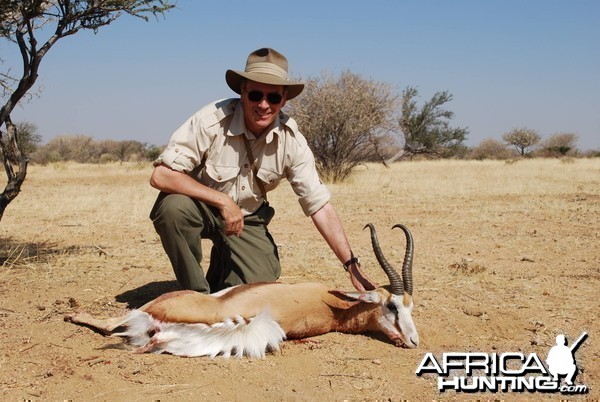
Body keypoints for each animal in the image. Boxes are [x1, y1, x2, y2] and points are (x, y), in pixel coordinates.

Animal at [65, 223, 420, 358]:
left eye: (409, 307)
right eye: (393, 306)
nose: (414, 341)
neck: (332, 307)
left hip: (152, 308)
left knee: (111, 324)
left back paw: (72, 312)